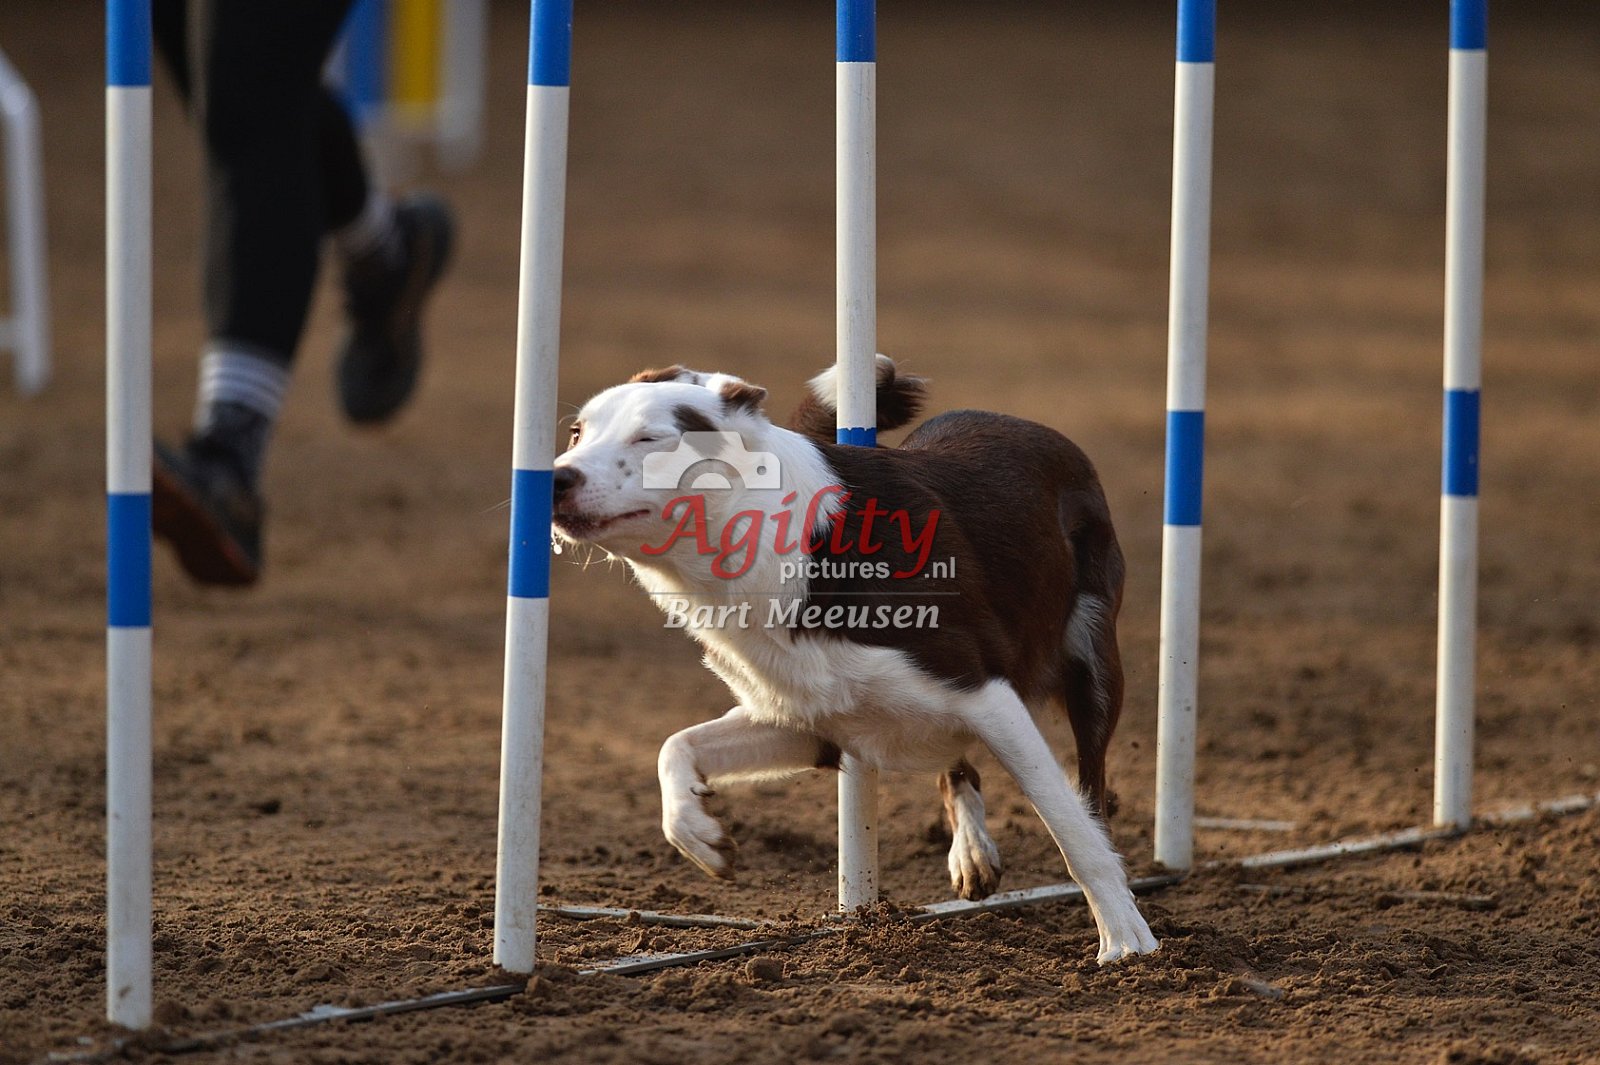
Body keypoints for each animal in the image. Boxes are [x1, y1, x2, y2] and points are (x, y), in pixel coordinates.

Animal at [551, 356, 1158, 964]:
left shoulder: (983, 690)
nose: (555, 477)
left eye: (651, 438)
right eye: (577, 434)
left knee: (1091, 791)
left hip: (1092, 659)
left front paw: (1126, 942)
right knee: (957, 764)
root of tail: (1027, 424)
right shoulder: (810, 719)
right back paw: (971, 851)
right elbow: (674, 746)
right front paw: (700, 834)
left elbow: (1071, 829)